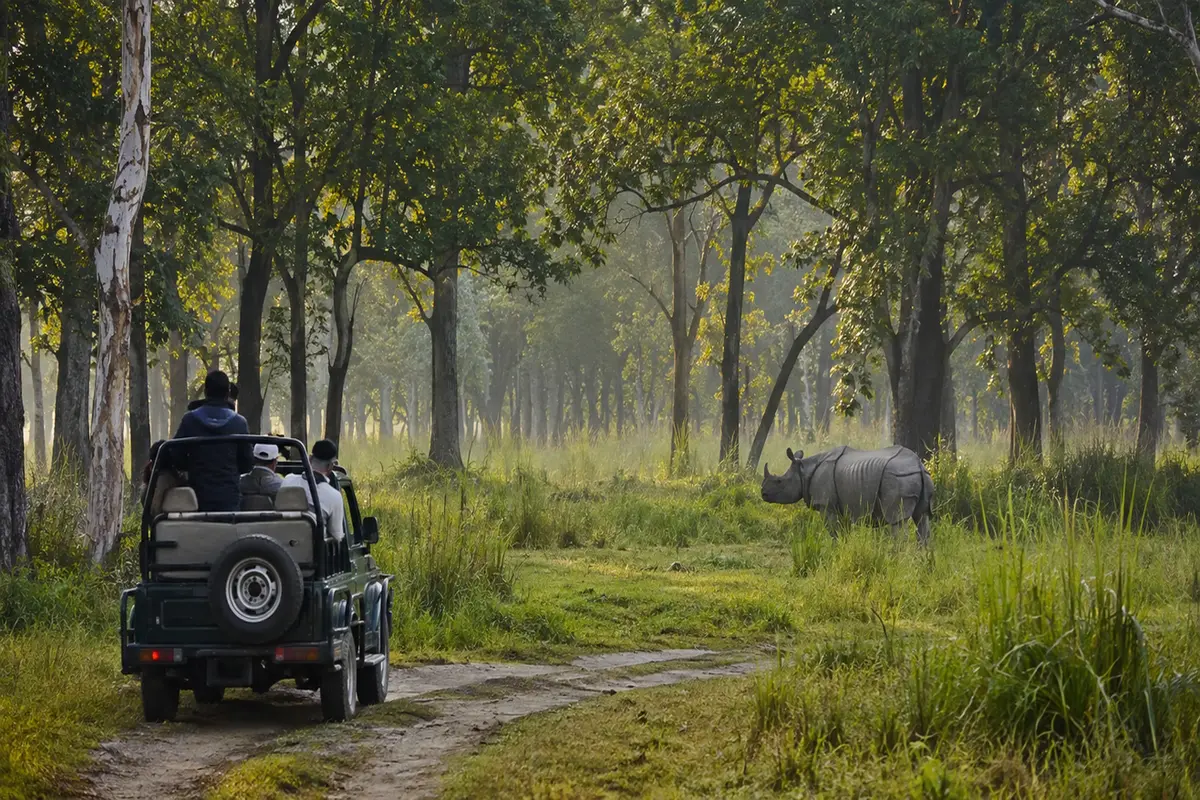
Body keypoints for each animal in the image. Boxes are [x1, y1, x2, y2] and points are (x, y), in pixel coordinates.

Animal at [761, 445, 934, 545]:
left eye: (779, 482)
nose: (763, 494)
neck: (804, 471)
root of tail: (918, 465)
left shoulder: (826, 506)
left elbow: (833, 532)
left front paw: (835, 550)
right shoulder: (844, 506)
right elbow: (844, 532)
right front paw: (845, 549)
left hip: (898, 477)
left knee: (897, 521)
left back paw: (896, 561)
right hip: (917, 476)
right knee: (922, 518)